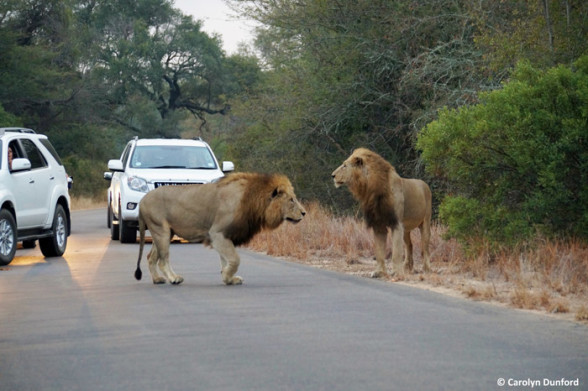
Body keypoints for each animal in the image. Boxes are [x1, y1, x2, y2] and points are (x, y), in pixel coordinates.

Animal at [135, 173, 306, 286]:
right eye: (291, 200)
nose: (304, 213)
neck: (253, 201)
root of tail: (142, 200)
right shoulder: (217, 233)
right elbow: (235, 259)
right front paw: (228, 276)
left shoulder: (225, 236)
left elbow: (225, 259)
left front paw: (228, 278)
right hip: (161, 231)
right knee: (163, 259)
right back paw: (174, 278)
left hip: (164, 233)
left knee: (151, 257)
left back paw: (157, 279)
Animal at [330, 148, 432, 278]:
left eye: (344, 165)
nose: (332, 175)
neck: (371, 189)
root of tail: (424, 183)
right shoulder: (378, 225)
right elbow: (379, 252)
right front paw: (379, 272)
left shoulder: (396, 223)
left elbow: (396, 252)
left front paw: (396, 272)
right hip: (406, 229)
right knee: (409, 245)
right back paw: (407, 267)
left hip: (425, 222)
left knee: (425, 247)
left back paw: (426, 268)